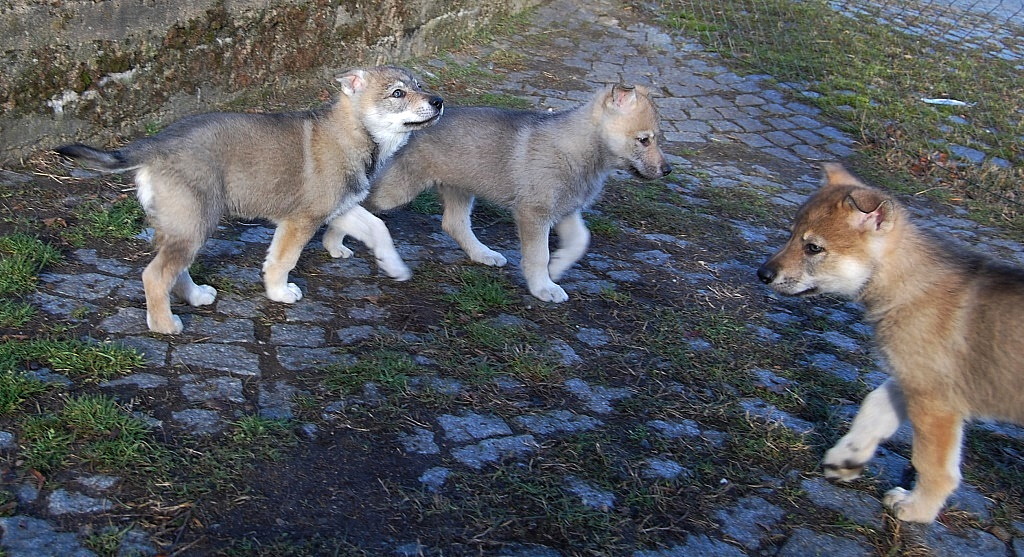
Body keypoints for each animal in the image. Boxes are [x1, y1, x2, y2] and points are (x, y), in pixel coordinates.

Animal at [56, 67, 440, 333]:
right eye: (398, 93)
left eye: (420, 85)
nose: (438, 102)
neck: (356, 133)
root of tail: (156, 144)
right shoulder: (301, 220)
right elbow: (282, 261)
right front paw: (279, 293)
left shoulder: (336, 208)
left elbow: (378, 229)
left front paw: (394, 267)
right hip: (195, 223)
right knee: (155, 275)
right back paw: (165, 325)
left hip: (183, 225)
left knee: (173, 271)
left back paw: (195, 297)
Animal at [321, 84, 671, 303]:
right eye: (644, 140)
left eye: (656, 138)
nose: (667, 170)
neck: (583, 149)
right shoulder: (535, 213)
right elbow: (538, 254)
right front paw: (543, 287)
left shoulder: (566, 209)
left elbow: (580, 242)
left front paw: (557, 269)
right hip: (397, 190)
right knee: (351, 207)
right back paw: (334, 244)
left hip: (460, 187)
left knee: (454, 224)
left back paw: (483, 254)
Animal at [757, 161, 1024, 522]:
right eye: (790, 235)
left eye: (813, 247)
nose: (762, 274)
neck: (909, 285)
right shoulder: (908, 377)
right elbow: (873, 408)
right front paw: (847, 459)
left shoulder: (935, 401)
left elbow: (934, 465)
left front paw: (917, 509)